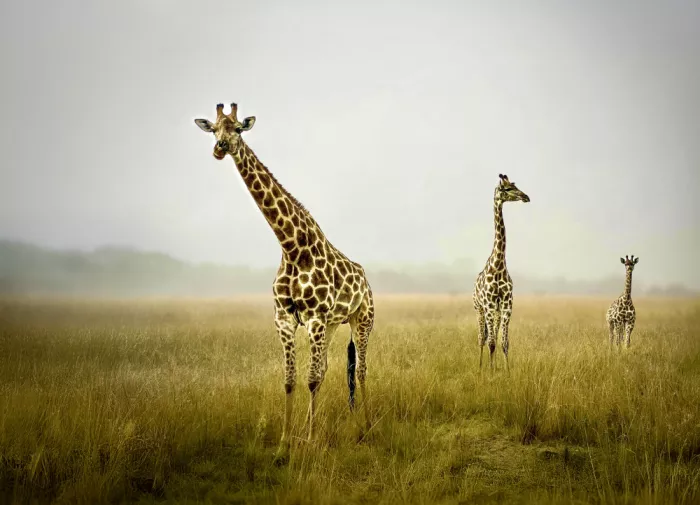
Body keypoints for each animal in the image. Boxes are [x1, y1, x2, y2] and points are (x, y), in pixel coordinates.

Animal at [195, 103, 375, 459]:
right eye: (214, 129)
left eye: (238, 128)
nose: (219, 148)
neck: (291, 247)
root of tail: (366, 279)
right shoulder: (285, 318)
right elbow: (292, 379)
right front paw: (285, 445)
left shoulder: (315, 317)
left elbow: (311, 379)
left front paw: (310, 440)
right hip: (334, 324)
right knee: (329, 368)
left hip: (362, 319)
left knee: (360, 369)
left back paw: (365, 424)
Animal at [472, 174, 530, 372]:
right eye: (506, 189)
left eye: (515, 185)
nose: (526, 197)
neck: (498, 264)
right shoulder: (489, 304)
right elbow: (490, 342)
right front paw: (490, 372)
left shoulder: (506, 304)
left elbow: (504, 342)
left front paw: (506, 371)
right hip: (479, 309)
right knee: (482, 338)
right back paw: (481, 367)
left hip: (495, 311)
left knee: (493, 337)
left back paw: (494, 365)